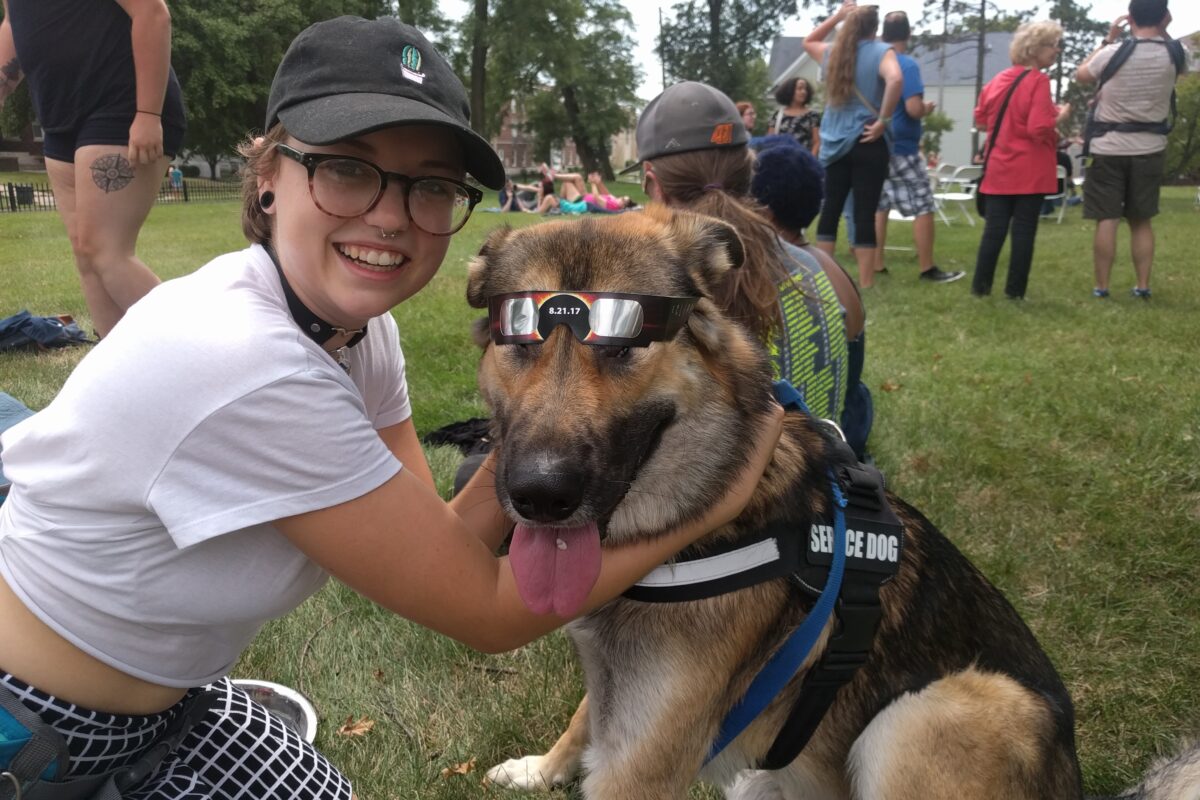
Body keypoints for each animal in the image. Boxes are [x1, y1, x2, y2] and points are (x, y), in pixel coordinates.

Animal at [465, 208, 1200, 800]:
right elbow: (583, 715)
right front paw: (542, 769)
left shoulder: (639, 766)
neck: (714, 506)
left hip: (929, 713)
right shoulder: (618, 703)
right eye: (518, 340)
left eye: (626, 344)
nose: (539, 495)